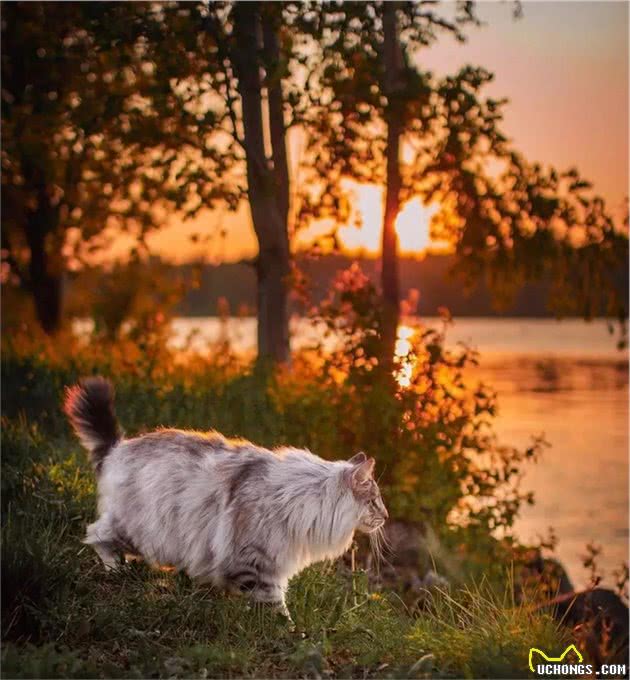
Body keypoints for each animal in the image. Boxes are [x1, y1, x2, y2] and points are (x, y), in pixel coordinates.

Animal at [64, 378, 390, 620]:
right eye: (374, 501)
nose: (386, 516)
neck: (307, 499)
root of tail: (119, 447)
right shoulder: (255, 560)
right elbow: (275, 605)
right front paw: (291, 634)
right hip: (140, 529)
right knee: (96, 534)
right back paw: (116, 569)